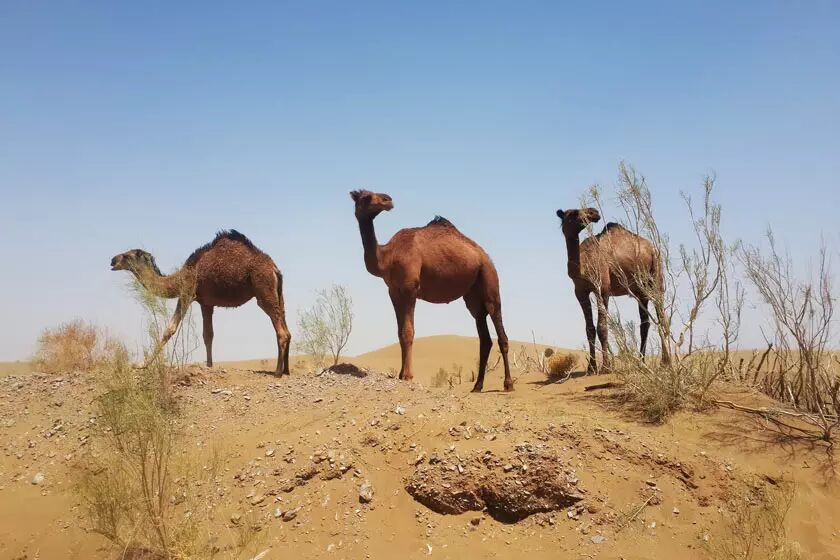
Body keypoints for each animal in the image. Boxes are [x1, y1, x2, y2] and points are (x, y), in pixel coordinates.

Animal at [111, 230, 290, 374]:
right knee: (286, 328)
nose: (112, 260)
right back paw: (286, 370)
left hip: (263, 290)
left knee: (281, 331)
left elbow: (169, 329)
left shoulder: (187, 293)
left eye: (126, 256)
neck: (181, 276)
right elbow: (208, 335)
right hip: (278, 294)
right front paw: (209, 365)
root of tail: (274, 268)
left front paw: (141, 364)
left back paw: (277, 372)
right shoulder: (206, 303)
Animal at [350, 190, 512, 392]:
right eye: (365, 197)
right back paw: (477, 386)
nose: (387, 200)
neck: (388, 256)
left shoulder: (410, 288)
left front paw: (408, 376)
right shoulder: (393, 291)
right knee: (484, 335)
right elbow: (400, 332)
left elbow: (408, 332)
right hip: (473, 295)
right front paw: (401, 374)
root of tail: (484, 256)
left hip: (489, 278)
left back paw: (508, 384)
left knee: (500, 330)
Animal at [556, 208, 668, 374]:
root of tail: (652, 248)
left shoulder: (603, 289)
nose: (594, 212)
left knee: (661, 316)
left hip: (656, 276)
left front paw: (606, 367)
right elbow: (590, 329)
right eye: (574, 213)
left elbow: (602, 327)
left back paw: (665, 362)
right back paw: (642, 363)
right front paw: (591, 368)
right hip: (640, 291)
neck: (584, 267)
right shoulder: (580, 292)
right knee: (645, 323)